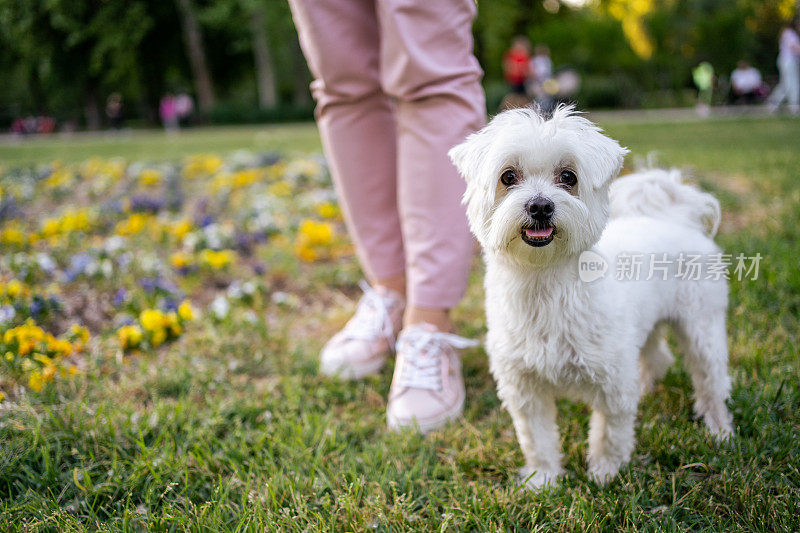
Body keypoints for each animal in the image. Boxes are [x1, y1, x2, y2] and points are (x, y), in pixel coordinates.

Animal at [446, 106, 736, 488]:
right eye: (508, 176)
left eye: (568, 177)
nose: (540, 206)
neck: (545, 283)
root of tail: (675, 219)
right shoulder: (524, 388)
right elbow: (537, 438)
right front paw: (543, 479)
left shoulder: (612, 381)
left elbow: (610, 432)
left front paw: (605, 473)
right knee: (657, 357)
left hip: (701, 326)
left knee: (711, 379)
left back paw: (719, 430)